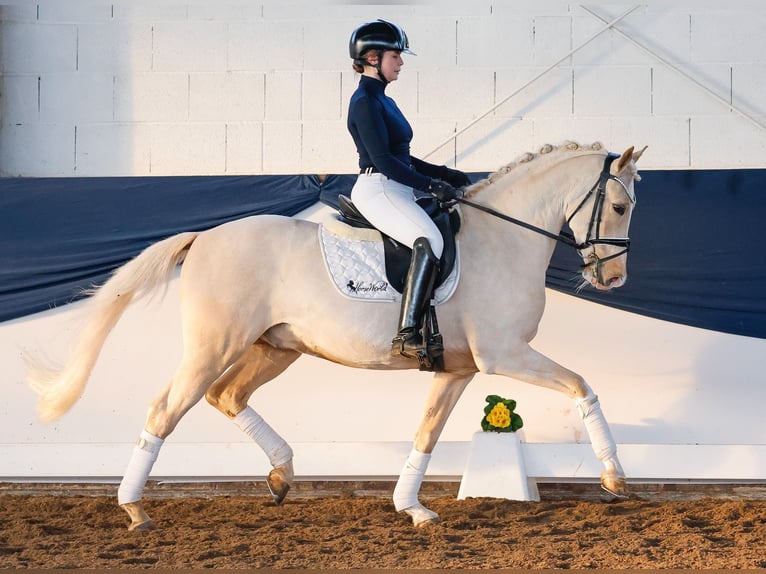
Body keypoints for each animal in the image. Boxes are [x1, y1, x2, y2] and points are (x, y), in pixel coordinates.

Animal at [27, 141, 644, 532]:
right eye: (618, 206)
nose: (613, 279)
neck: (503, 240)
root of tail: (204, 237)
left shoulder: (459, 369)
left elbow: (426, 432)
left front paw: (411, 507)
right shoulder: (505, 355)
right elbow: (582, 386)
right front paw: (614, 477)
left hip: (276, 348)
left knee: (226, 396)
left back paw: (281, 475)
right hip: (214, 346)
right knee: (165, 410)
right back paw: (134, 509)